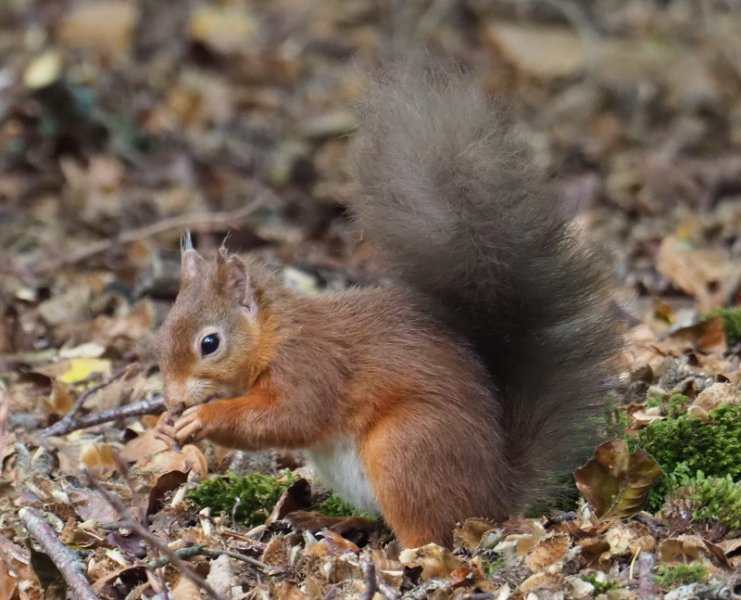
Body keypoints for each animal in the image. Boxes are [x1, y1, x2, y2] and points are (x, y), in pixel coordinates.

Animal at [156, 65, 619, 548]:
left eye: (210, 343)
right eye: (162, 332)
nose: (171, 399)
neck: (276, 333)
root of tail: (496, 495)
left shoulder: (312, 366)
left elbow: (290, 417)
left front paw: (202, 418)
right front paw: (166, 425)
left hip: (405, 449)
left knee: (431, 532)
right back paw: (333, 523)